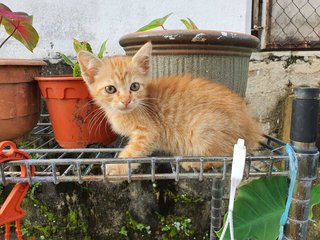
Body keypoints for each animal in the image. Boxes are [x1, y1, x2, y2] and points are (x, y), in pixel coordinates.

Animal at [77, 42, 260, 175]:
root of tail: (251, 129)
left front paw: (116, 167)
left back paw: (193, 162)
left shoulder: (149, 132)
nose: (126, 100)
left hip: (203, 130)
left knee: (225, 156)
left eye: (134, 86)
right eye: (110, 89)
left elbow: (132, 153)